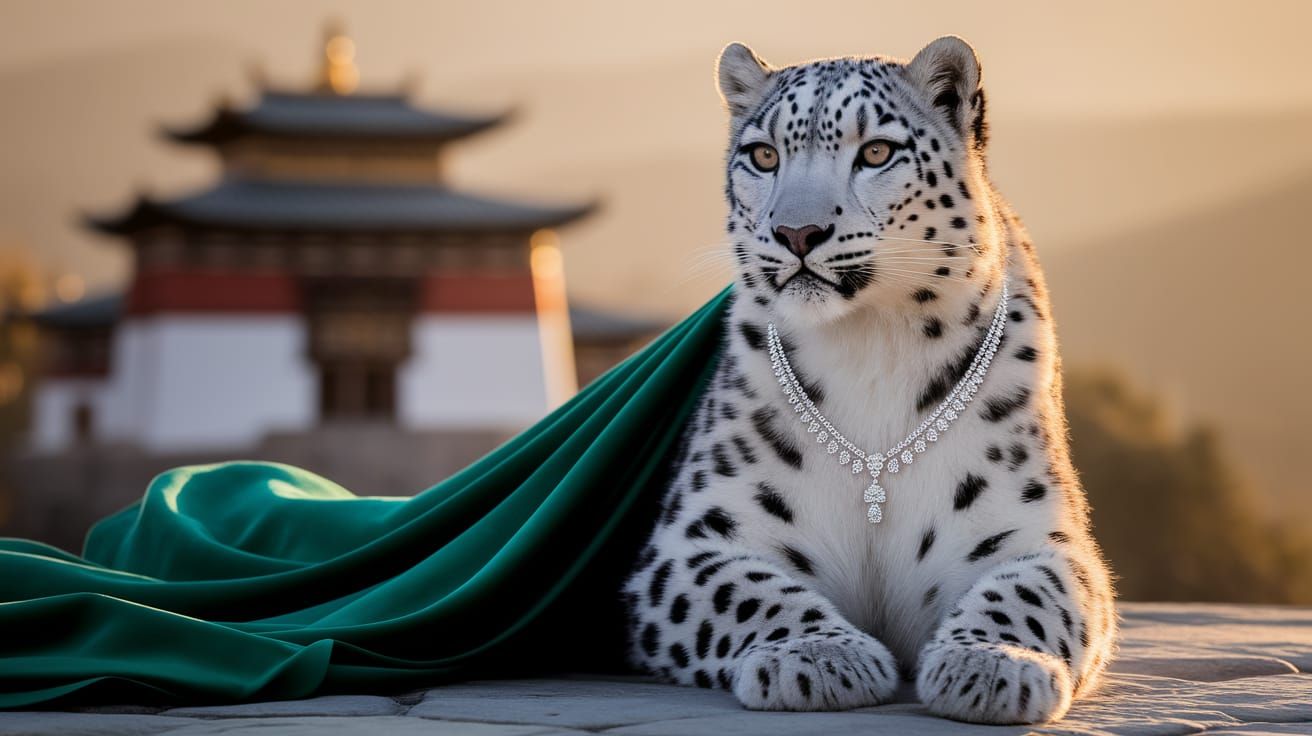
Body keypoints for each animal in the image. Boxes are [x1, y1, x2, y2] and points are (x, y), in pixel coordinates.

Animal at [620, 36, 1117, 724]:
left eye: (876, 152)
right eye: (764, 155)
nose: (797, 233)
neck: (872, 346)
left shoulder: (1037, 533)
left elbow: (1028, 594)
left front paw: (991, 665)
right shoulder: (696, 539)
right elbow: (750, 592)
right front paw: (818, 657)